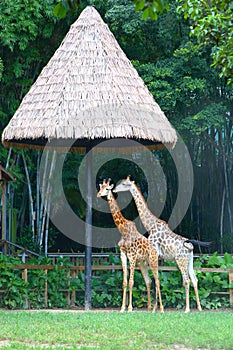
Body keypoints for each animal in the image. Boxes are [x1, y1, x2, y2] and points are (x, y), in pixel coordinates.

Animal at [96, 179, 164, 314]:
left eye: (107, 189)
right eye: (100, 188)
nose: (98, 195)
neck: (122, 229)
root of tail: (156, 251)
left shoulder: (132, 255)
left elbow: (131, 281)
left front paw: (130, 308)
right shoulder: (123, 254)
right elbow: (124, 281)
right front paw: (122, 308)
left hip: (153, 261)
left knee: (158, 280)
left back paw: (161, 309)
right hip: (143, 263)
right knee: (149, 281)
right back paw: (149, 308)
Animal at [114, 176, 212, 314]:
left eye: (124, 184)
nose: (114, 189)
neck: (150, 225)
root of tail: (191, 246)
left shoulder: (154, 254)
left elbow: (155, 279)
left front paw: (156, 308)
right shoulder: (157, 257)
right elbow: (155, 279)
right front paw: (156, 307)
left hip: (180, 260)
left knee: (186, 280)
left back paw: (187, 309)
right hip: (189, 261)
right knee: (194, 279)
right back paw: (199, 308)